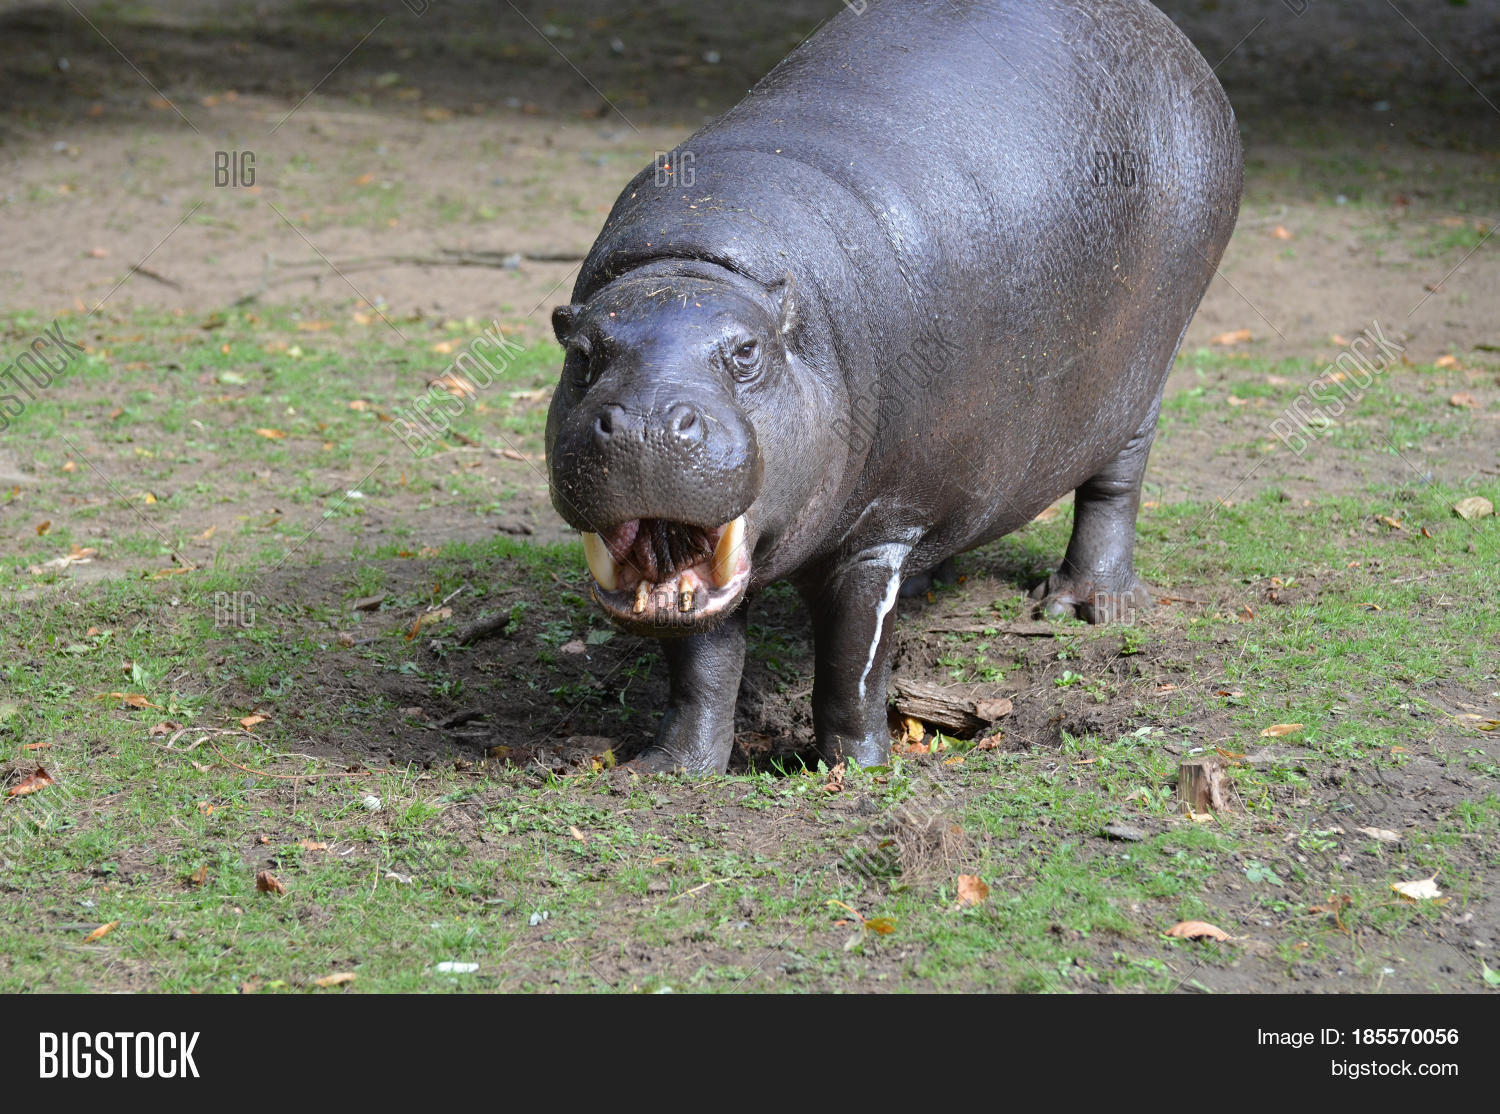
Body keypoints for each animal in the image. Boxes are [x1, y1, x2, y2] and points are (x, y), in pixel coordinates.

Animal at [545, 0, 1242, 773]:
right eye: (582, 354)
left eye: (748, 353)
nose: (643, 420)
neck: (696, 267)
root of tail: (1175, 39)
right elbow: (702, 664)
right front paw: (671, 770)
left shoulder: (879, 531)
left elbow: (853, 662)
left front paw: (855, 769)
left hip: (1147, 368)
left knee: (1116, 483)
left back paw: (1084, 605)